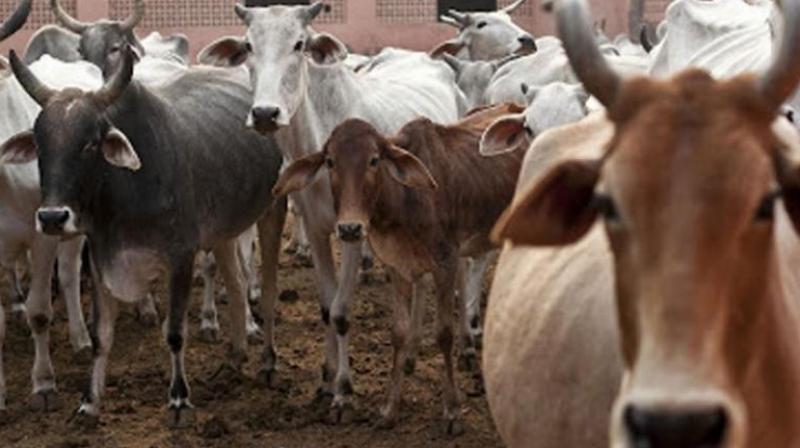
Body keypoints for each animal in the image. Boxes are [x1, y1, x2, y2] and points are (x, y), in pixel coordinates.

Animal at [1, 47, 286, 428]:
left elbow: (175, 333)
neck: (128, 189)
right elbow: (101, 337)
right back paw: (233, 360)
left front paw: (179, 400)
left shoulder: (181, 258)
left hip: (273, 210)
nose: (51, 217)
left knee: (266, 293)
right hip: (224, 231)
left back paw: (267, 362)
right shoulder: (102, 258)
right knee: (238, 287)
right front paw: (88, 403)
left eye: (90, 144)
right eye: (40, 144)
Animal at [197, 1, 463, 422]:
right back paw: (409, 357)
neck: (318, 138)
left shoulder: (352, 232)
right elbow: (325, 305)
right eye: (248, 45)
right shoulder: (317, 228)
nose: (265, 113)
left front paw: (344, 392)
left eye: (299, 44)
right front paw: (326, 380)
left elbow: (340, 310)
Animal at [272, 103, 525, 433]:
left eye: (374, 160)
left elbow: (443, 333)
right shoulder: (398, 266)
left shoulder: (444, 261)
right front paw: (390, 409)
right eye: (330, 161)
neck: (405, 200)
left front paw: (452, 411)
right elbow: (399, 332)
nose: (350, 228)